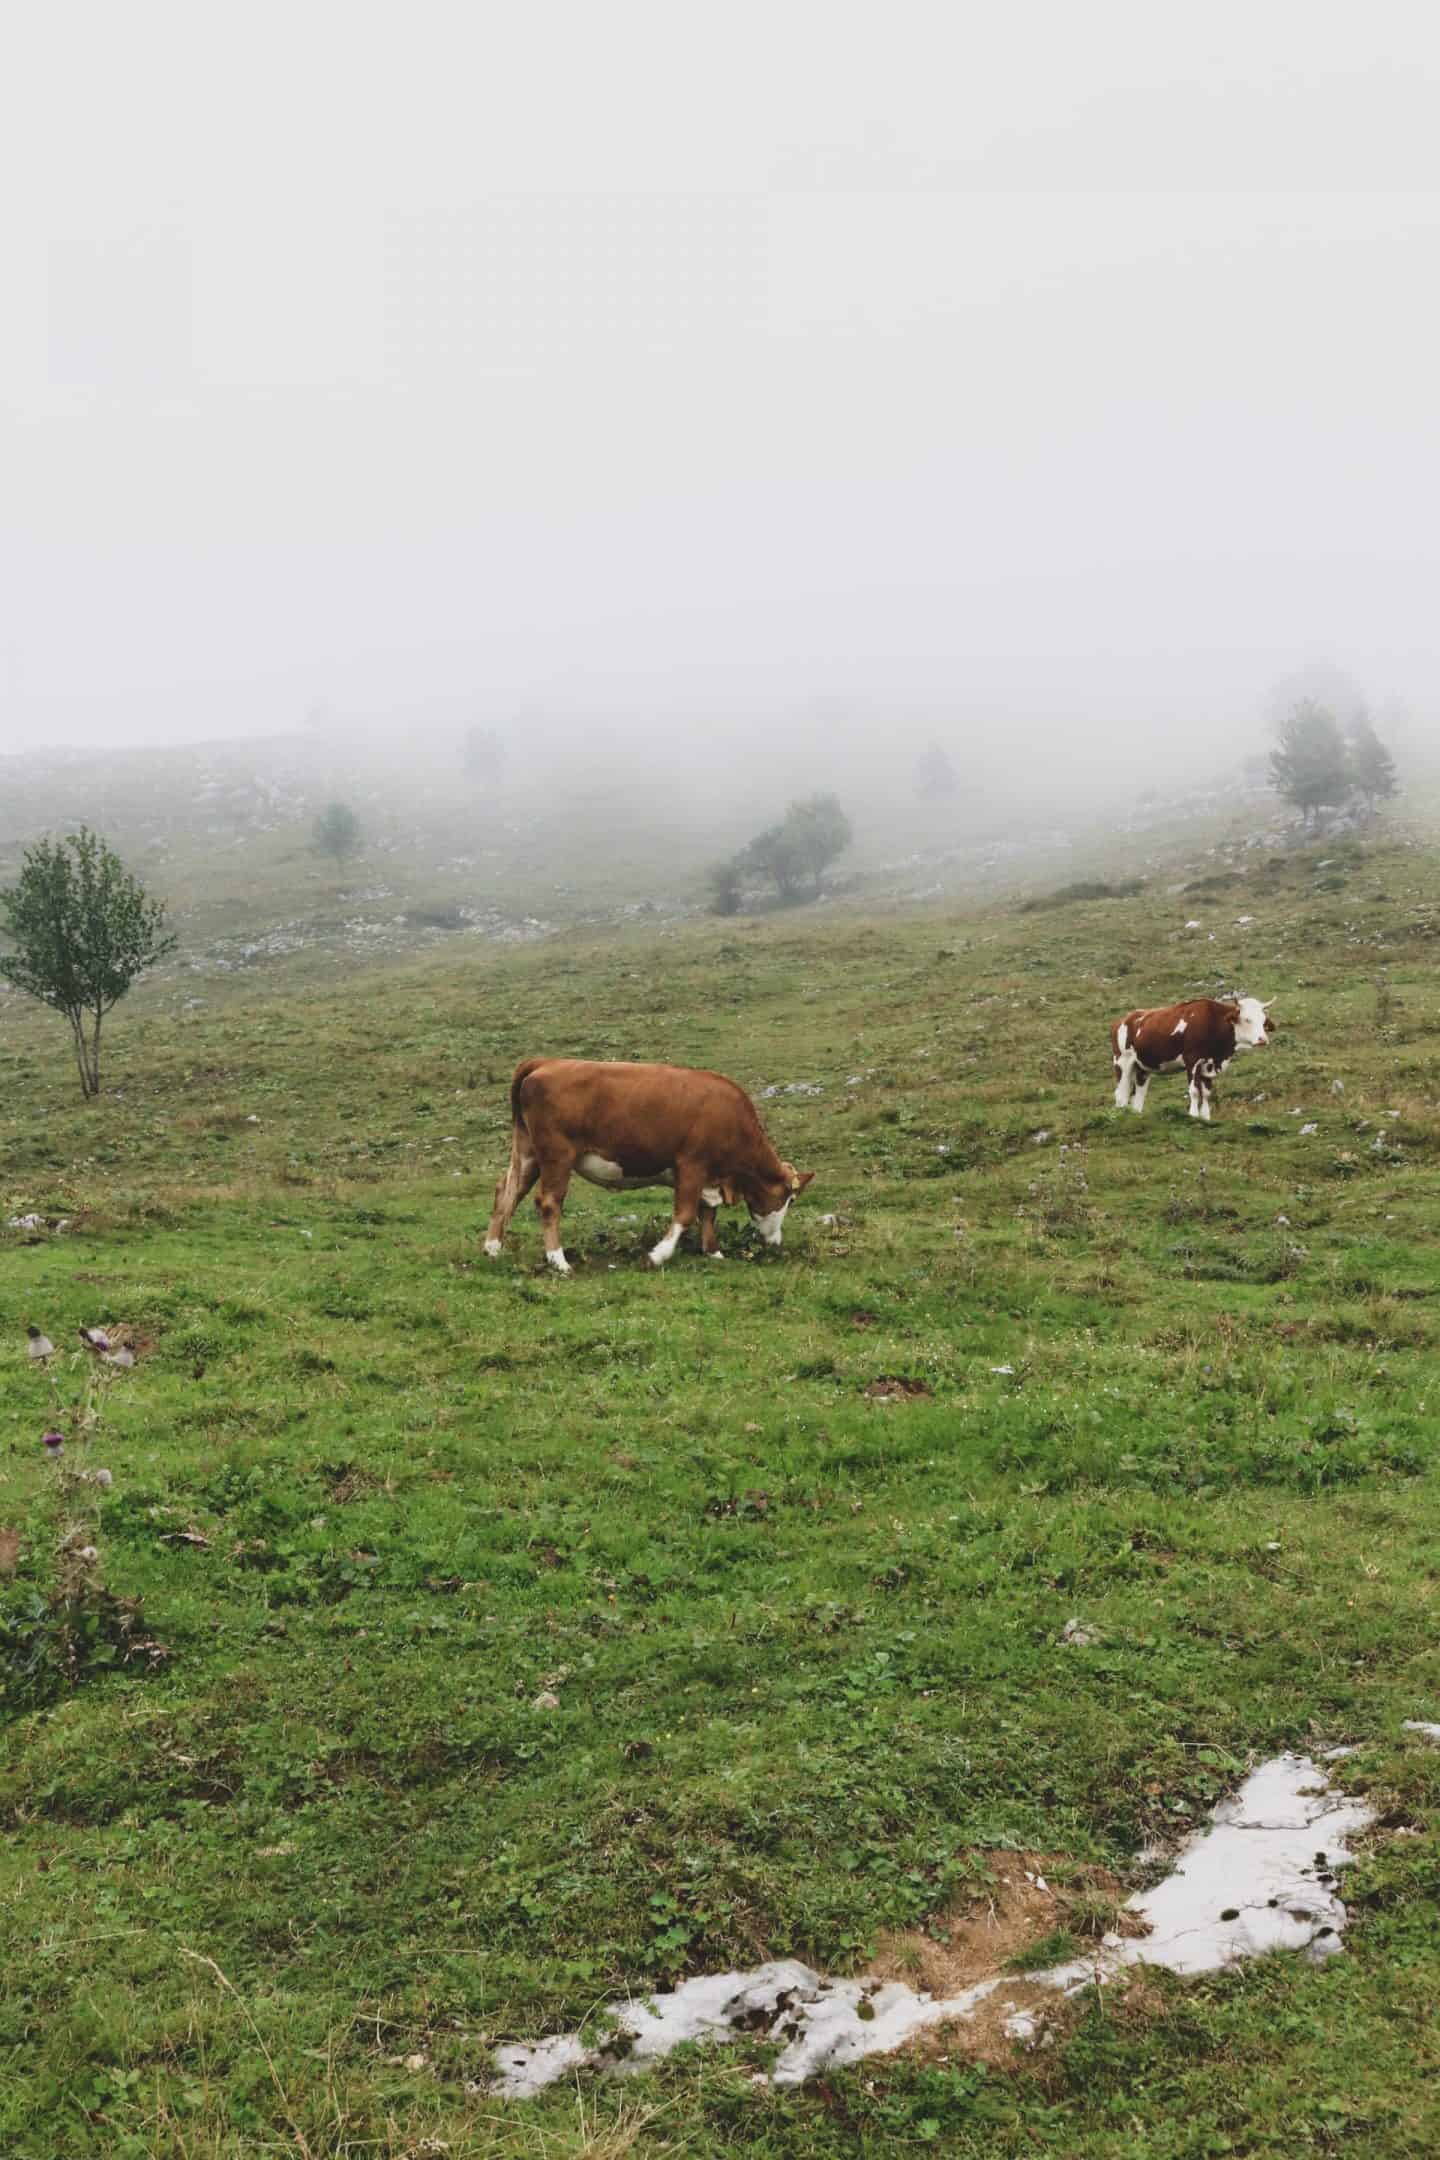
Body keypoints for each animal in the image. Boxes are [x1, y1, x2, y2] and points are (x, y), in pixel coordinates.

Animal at [490, 1058, 816, 1270]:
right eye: (790, 1198)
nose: (776, 1242)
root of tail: (546, 1062)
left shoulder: (708, 1177)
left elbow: (708, 1214)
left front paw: (713, 1253)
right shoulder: (692, 1165)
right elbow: (685, 1215)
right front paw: (657, 1255)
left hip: (528, 1152)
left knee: (508, 1191)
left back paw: (493, 1248)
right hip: (557, 1155)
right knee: (548, 1202)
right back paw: (558, 1261)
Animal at [1114, 993, 1269, 1123]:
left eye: (1263, 1021)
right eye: (1247, 1019)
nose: (1262, 1039)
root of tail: (1123, 1020)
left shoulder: (1208, 1065)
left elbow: (1206, 1093)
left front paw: (1206, 1117)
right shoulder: (1192, 1060)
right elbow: (1194, 1091)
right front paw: (1193, 1115)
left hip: (1142, 1068)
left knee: (1139, 1094)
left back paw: (1136, 1114)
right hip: (1122, 1063)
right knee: (1120, 1093)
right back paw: (1120, 1114)